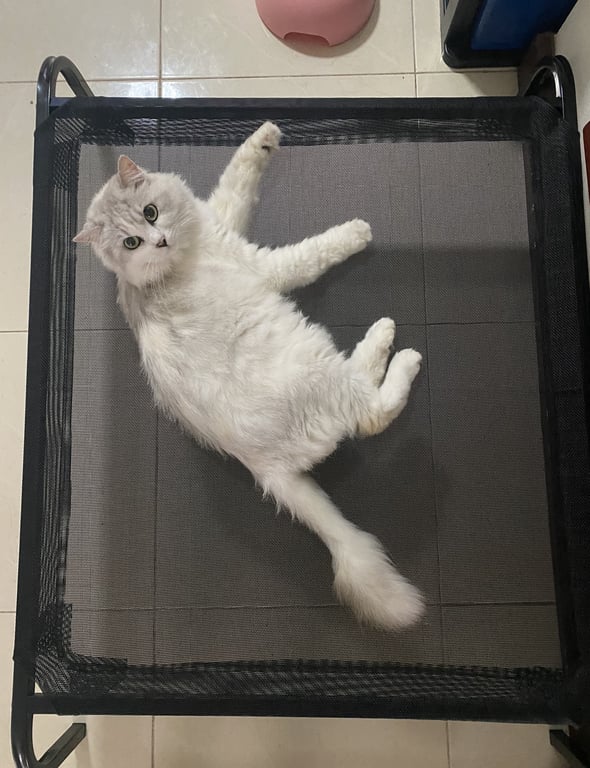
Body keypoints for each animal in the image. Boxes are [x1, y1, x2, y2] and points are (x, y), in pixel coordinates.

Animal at [74, 121, 424, 631]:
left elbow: (237, 178)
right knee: (372, 410)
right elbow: (312, 253)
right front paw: (356, 232)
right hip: (317, 360)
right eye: (131, 244)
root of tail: (268, 470)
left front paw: (265, 137)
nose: (158, 240)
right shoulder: (260, 262)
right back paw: (392, 344)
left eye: (150, 212)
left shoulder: (220, 217)